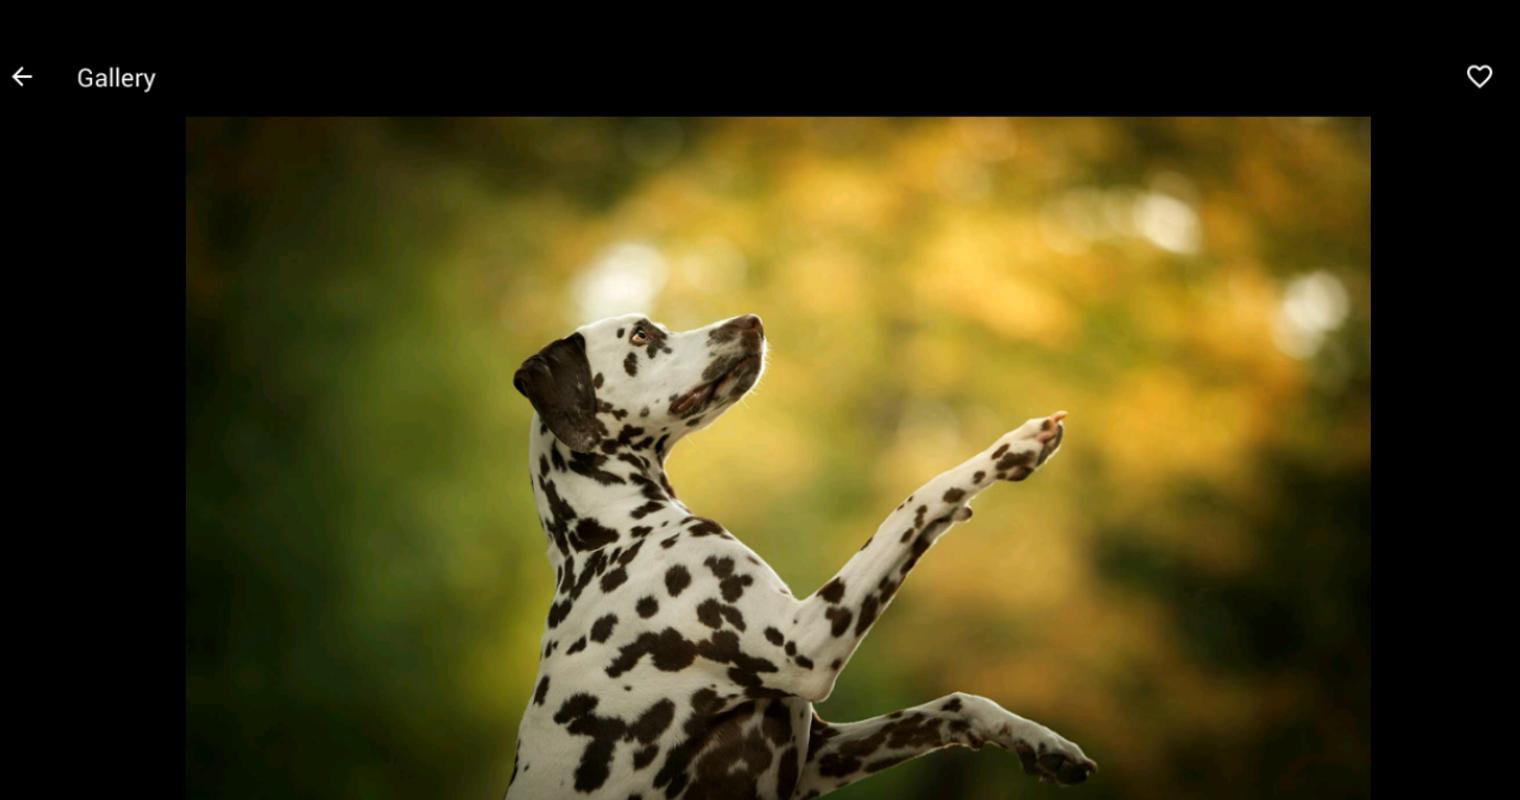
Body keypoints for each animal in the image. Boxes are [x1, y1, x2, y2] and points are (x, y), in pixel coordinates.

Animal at [507, 314, 1094, 800]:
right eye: (640, 336)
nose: (751, 320)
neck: (611, 533)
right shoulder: (804, 643)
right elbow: (919, 500)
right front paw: (1011, 449)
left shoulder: (820, 756)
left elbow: (952, 704)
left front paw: (1038, 740)